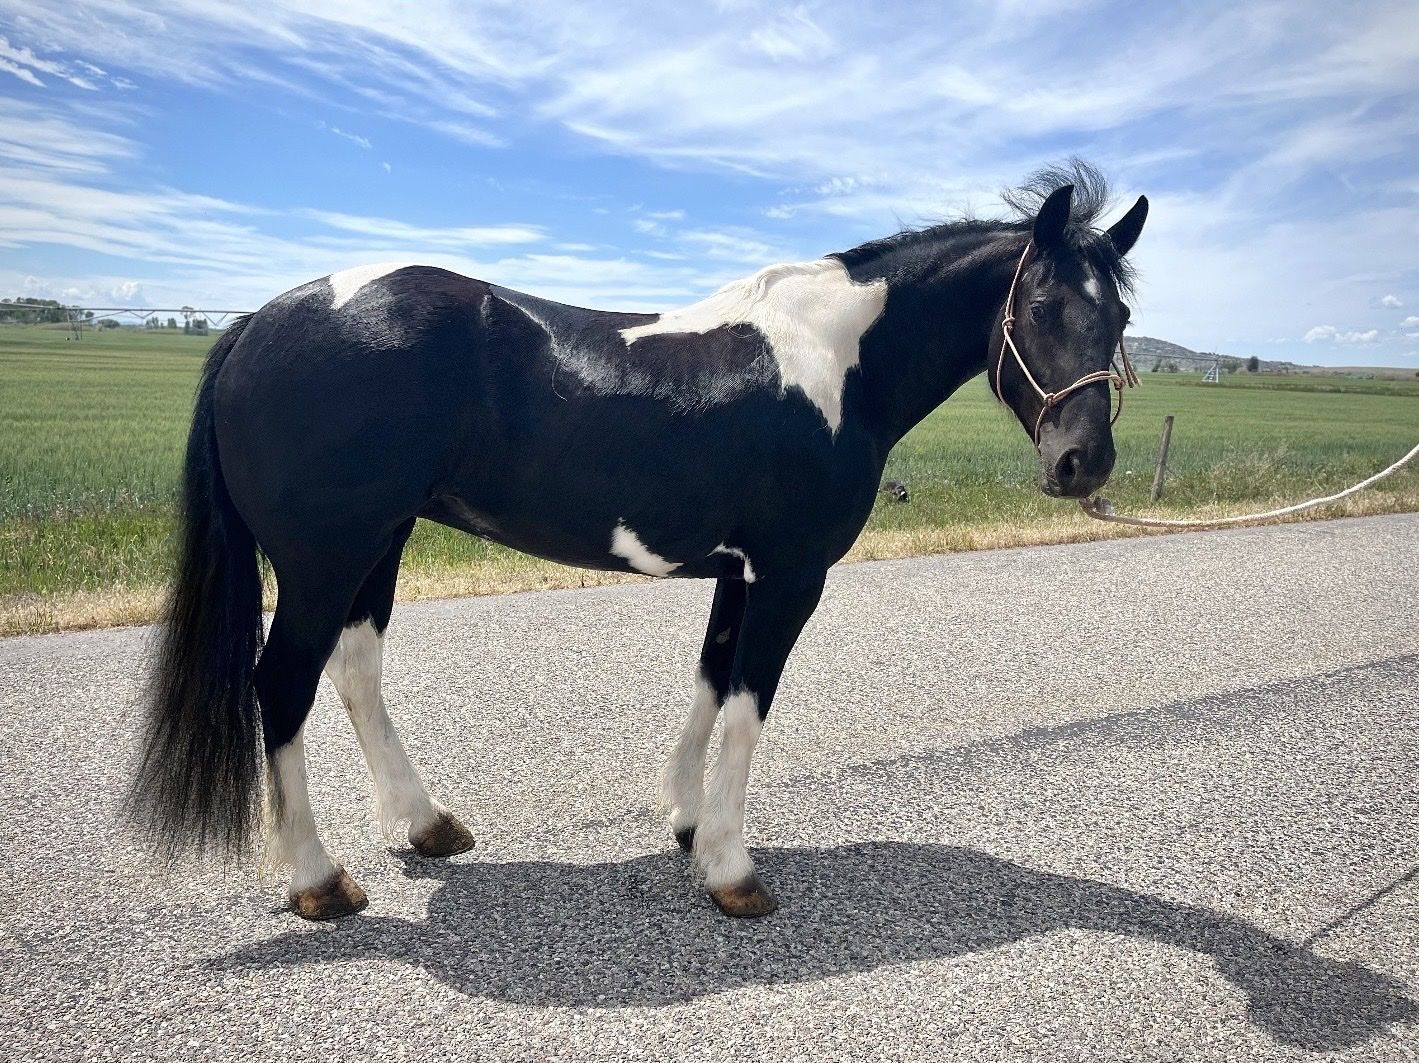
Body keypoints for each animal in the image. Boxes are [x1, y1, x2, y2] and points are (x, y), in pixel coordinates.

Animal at [130, 162, 1148, 920]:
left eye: (1121, 316)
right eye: (1044, 307)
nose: (1082, 463)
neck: (835, 362)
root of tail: (257, 323)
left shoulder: (739, 573)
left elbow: (711, 683)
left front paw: (691, 824)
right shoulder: (791, 575)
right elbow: (747, 706)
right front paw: (732, 872)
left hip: (377, 543)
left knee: (354, 669)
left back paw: (426, 825)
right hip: (323, 557)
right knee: (281, 685)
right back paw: (319, 879)